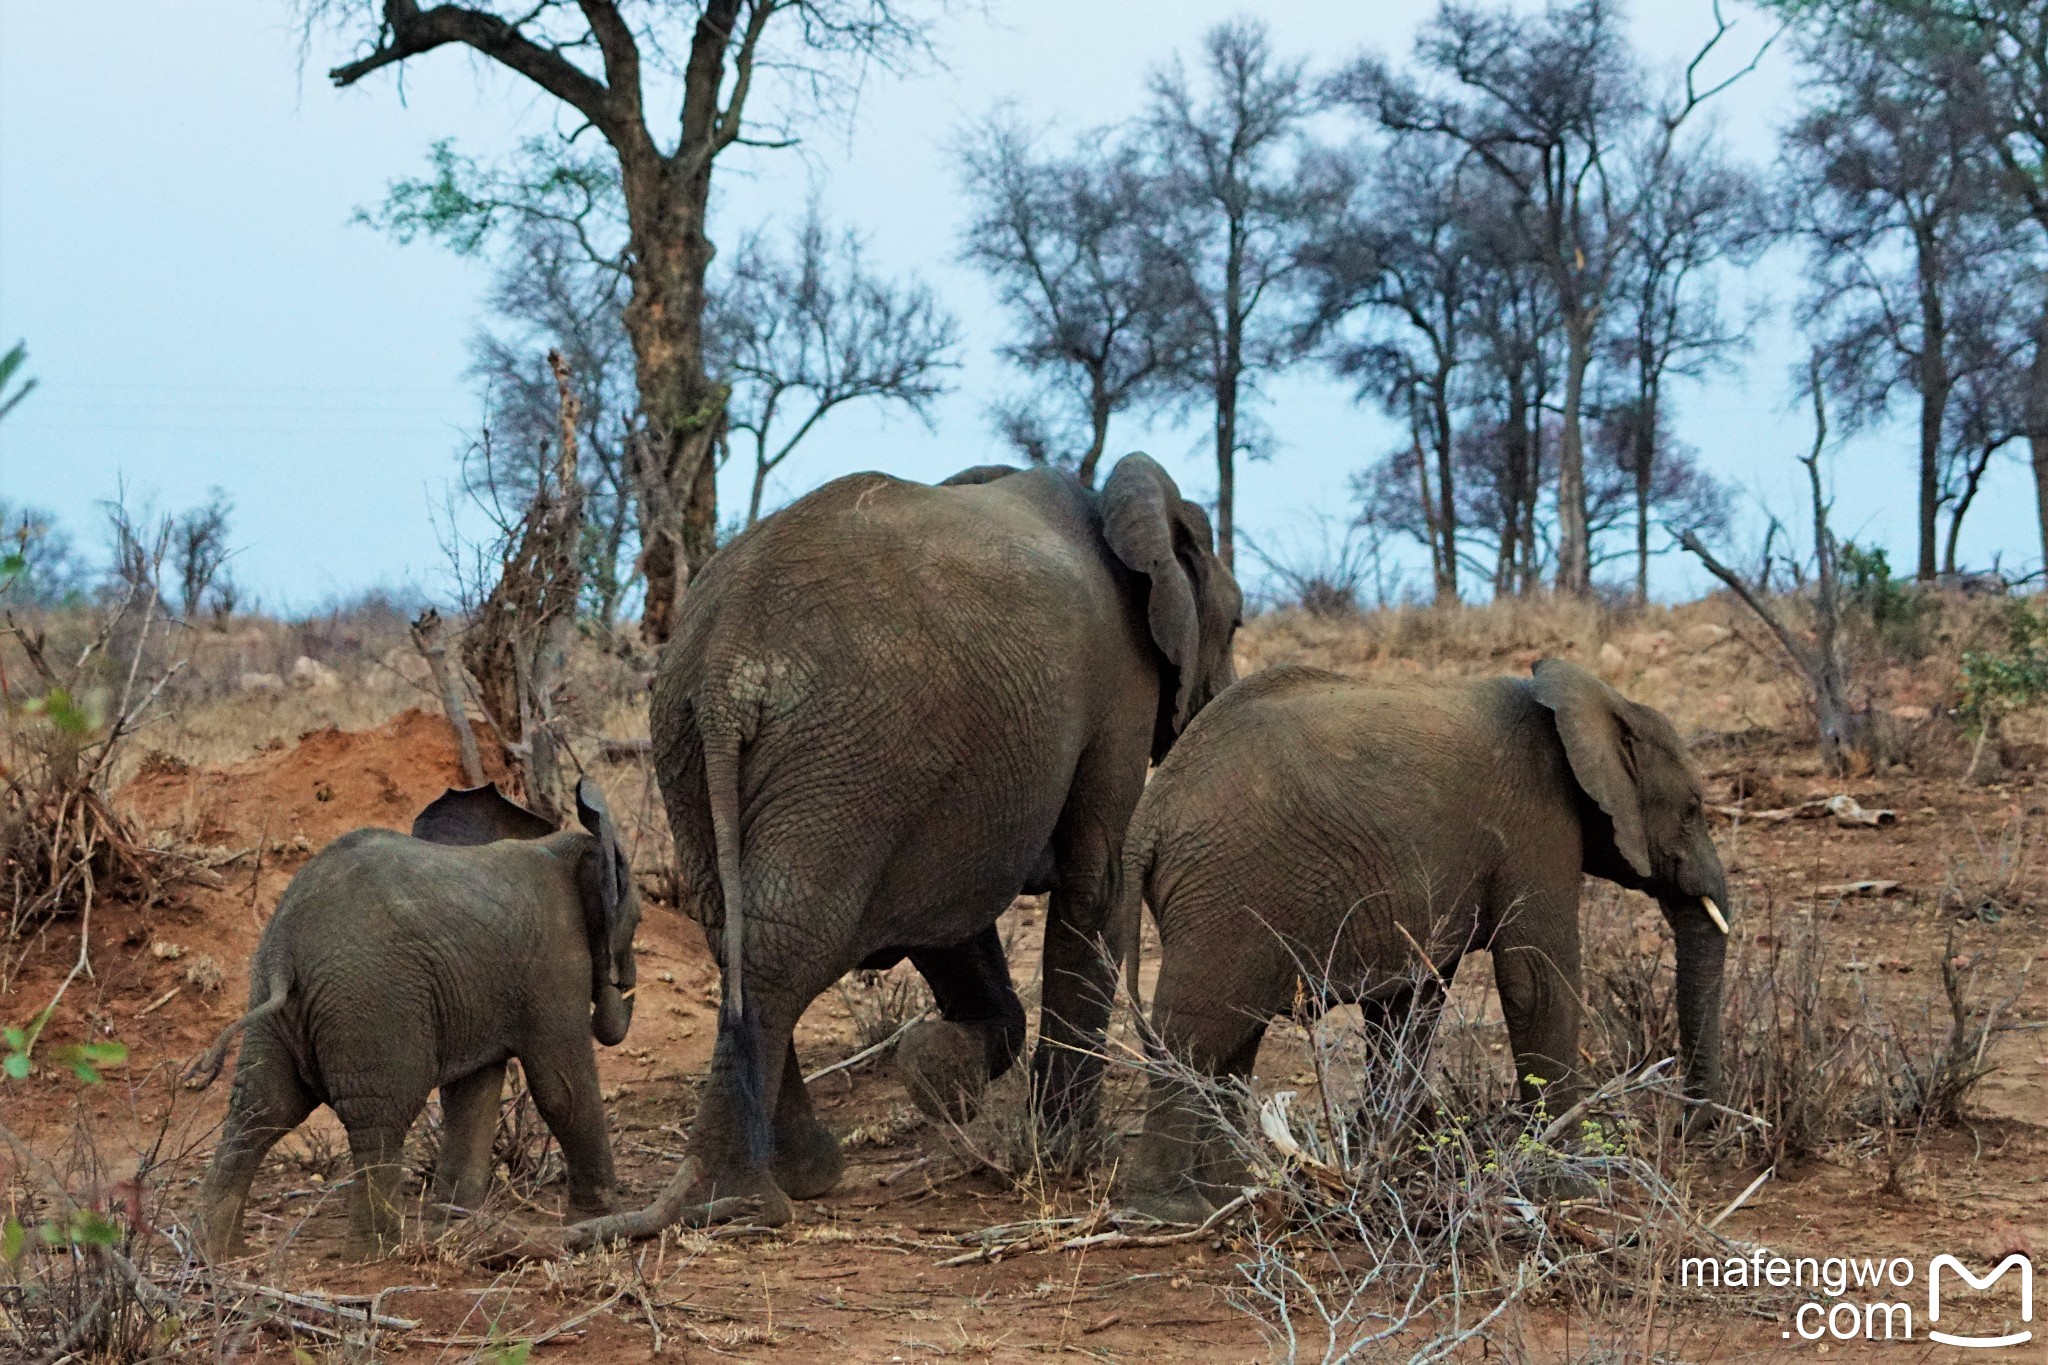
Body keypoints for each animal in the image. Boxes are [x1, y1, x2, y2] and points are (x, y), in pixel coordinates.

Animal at [192, 777, 643, 1260]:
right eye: (637, 921)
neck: (572, 846)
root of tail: (285, 946)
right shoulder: (554, 961)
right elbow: (562, 1090)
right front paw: (601, 1218)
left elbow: (472, 1093)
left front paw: (457, 1222)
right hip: (373, 996)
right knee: (380, 1119)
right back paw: (380, 1253)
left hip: (274, 1000)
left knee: (259, 1110)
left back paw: (215, 1253)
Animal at [630, 450, 1236, 1227]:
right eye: (1239, 620)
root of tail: (723, 666)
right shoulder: (1121, 690)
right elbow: (1093, 885)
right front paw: (1065, 1150)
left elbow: (952, 915)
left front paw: (938, 1074)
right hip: (851, 755)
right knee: (785, 942)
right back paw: (744, 1196)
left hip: (694, 745)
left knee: (737, 932)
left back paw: (795, 1178)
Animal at [1122, 654, 1728, 1219]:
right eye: (1693, 808)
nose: (1686, 1128)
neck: (1600, 701)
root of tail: (1147, 820)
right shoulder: (1538, 823)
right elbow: (1536, 981)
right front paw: (1572, 1190)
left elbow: (1411, 1002)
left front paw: (1389, 1166)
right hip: (1225, 890)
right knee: (1197, 1035)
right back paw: (1171, 1211)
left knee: (1233, 1040)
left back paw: (1233, 1193)